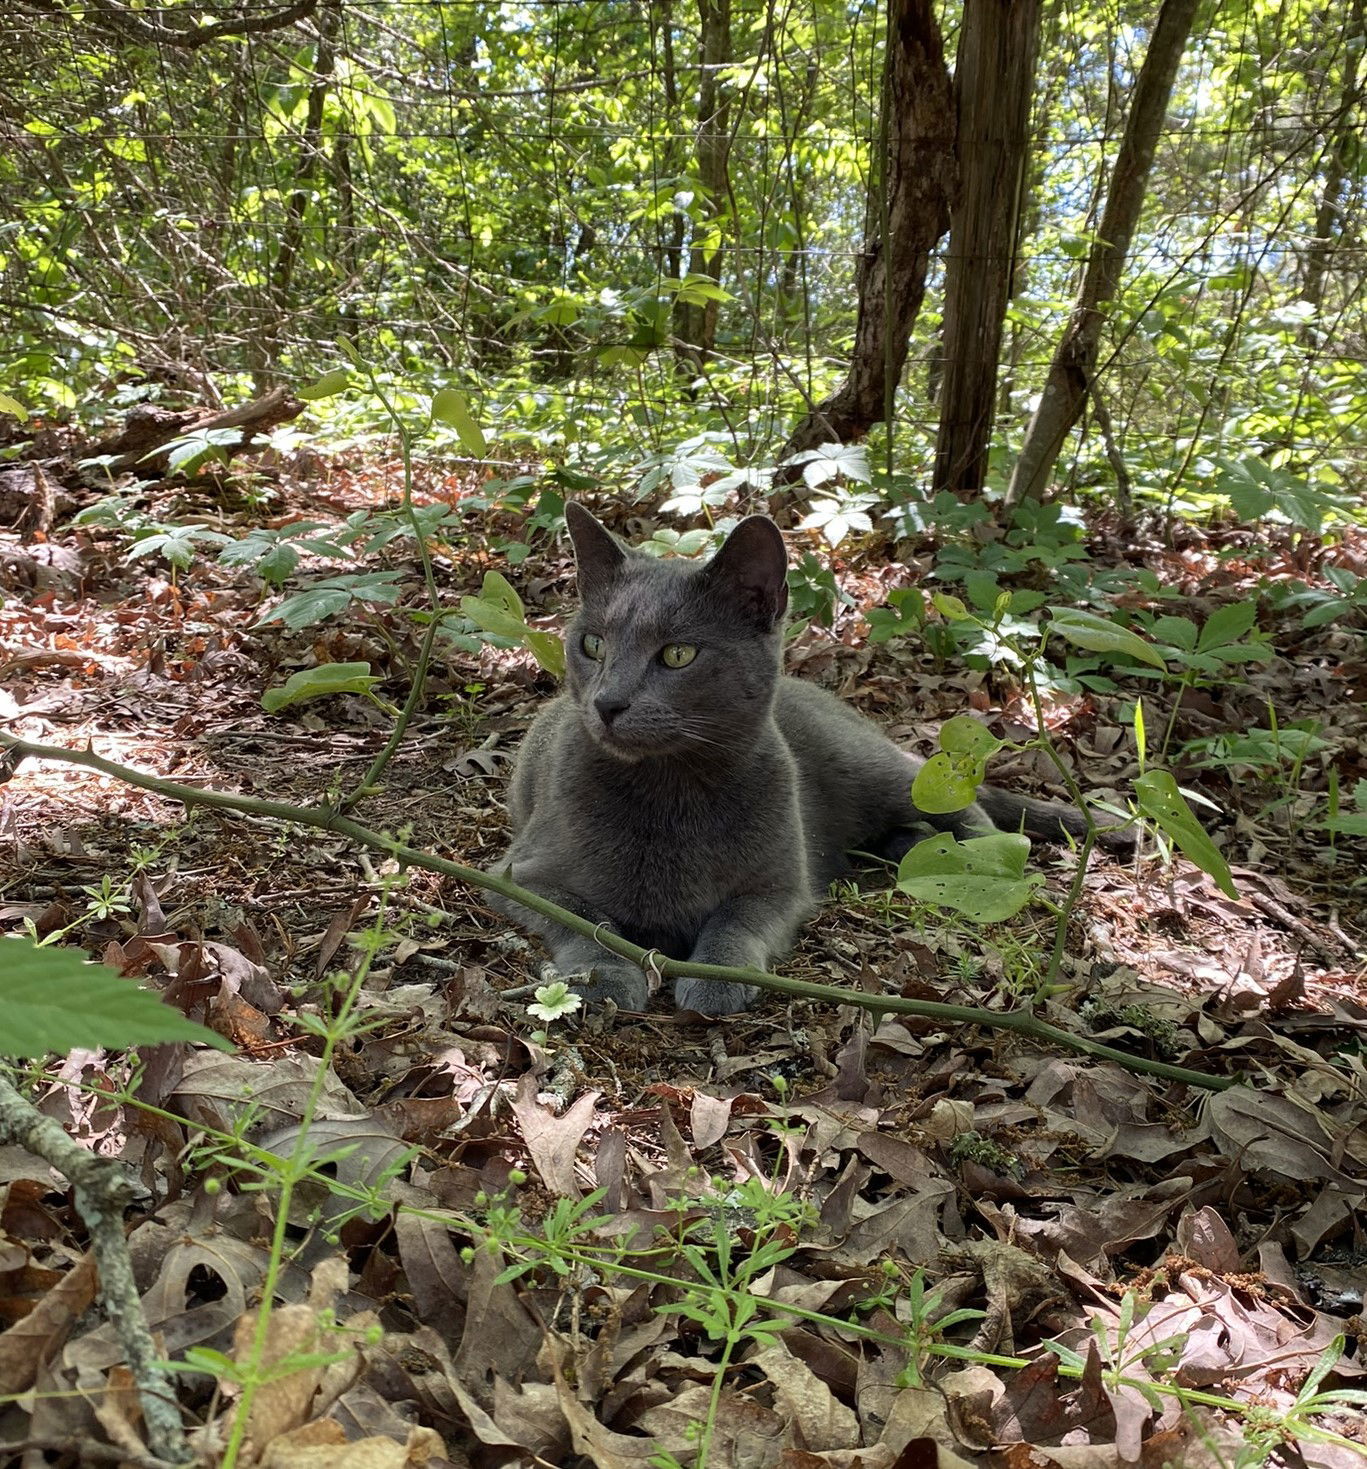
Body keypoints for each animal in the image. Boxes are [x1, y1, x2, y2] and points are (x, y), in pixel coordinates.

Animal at [490, 499, 1092, 1016]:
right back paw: (908, 847)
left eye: (678, 654)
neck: (670, 789)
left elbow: (738, 916)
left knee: (967, 809)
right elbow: (585, 919)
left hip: (872, 768)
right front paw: (605, 975)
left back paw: (969, 858)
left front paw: (718, 976)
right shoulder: (524, 875)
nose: (607, 702)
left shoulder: (782, 884)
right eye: (593, 646)